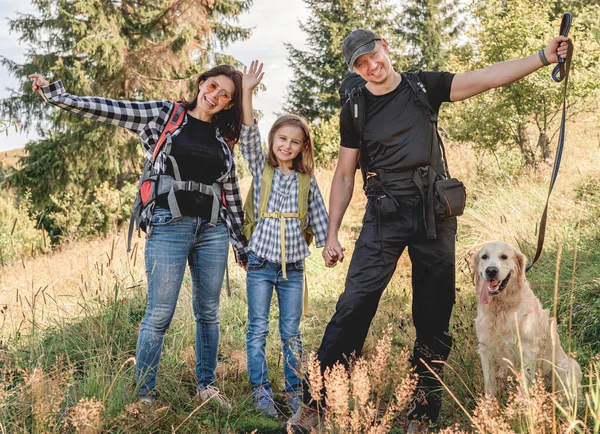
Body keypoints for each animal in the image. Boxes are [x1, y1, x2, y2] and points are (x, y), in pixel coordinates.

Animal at [474, 241, 580, 400]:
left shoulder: (528, 350)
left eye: (504, 256)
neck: (501, 308)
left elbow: (524, 386)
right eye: (484, 257)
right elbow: (489, 387)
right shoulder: (485, 350)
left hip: (566, 366)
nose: (491, 271)